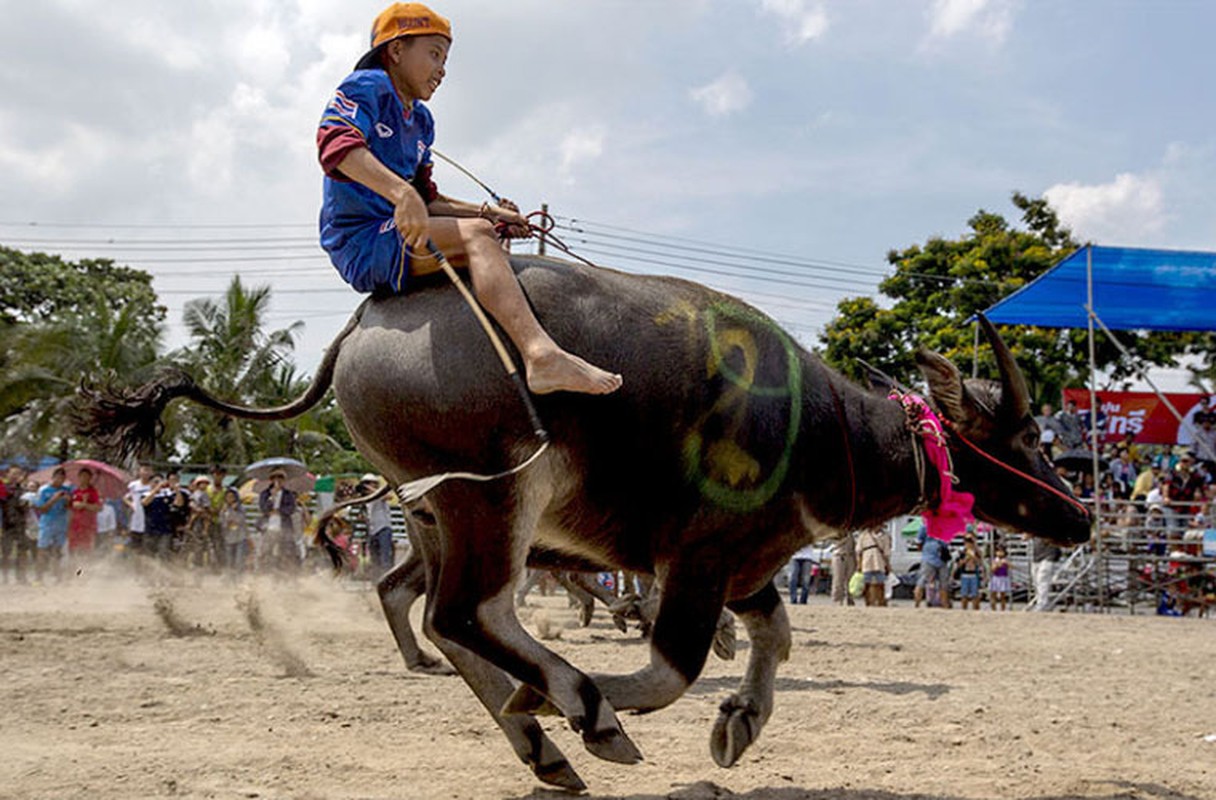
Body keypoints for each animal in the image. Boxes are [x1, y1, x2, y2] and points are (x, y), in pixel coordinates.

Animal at [83, 252, 1094, 787]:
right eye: (1025, 432)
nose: (1082, 515)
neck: (824, 430)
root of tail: (362, 326)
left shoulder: (745, 563)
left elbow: (772, 637)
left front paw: (741, 721)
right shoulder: (699, 559)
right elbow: (673, 665)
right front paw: (590, 706)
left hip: (434, 509)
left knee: (448, 621)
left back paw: (538, 743)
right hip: (493, 495)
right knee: (468, 614)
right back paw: (563, 710)